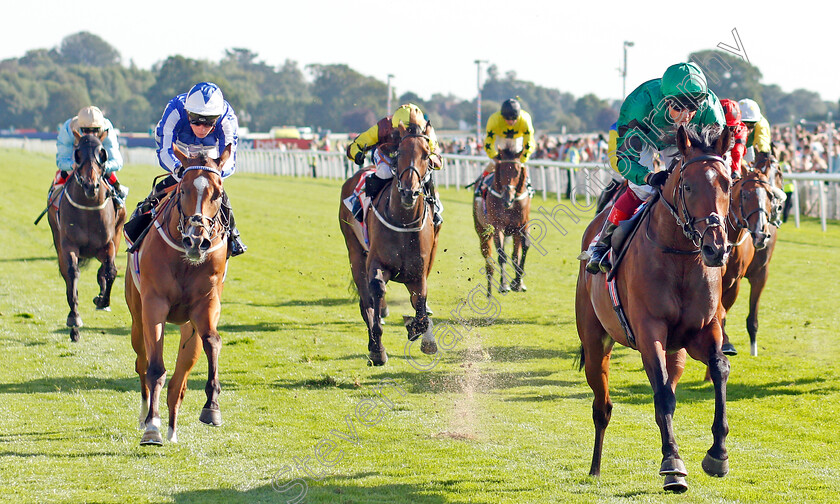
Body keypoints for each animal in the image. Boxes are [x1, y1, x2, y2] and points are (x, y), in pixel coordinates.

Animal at [47, 132, 126, 340]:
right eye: (78, 153)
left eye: (102, 154)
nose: (91, 186)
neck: (89, 208)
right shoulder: (69, 245)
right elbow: (72, 273)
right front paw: (74, 318)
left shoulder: (108, 244)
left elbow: (111, 271)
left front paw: (103, 300)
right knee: (67, 273)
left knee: (104, 269)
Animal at [125, 145, 230, 444]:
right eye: (183, 190)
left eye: (217, 193)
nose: (196, 241)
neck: (185, 260)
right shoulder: (154, 304)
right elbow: (155, 368)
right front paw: (151, 426)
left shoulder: (206, 304)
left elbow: (213, 342)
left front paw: (212, 407)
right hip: (136, 316)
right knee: (142, 362)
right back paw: (147, 416)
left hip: (187, 329)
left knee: (179, 380)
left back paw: (172, 427)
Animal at [338, 113, 440, 366]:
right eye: (399, 152)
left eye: (426, 154)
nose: (409, 192)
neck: (403, 221)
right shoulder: (376, 262)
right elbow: (376, 289)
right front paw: (377, 348)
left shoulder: (419, 271)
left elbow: (420, 306)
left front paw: (422, 334)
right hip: (354, 251)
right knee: (366, 300)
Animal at [472, 147, 532, 296]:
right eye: (502, 170)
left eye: (517, 170)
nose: (507, 200)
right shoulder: (497, 227)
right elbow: (502, 254)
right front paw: (503, 285)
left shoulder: (523, 225)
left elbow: (524, 248)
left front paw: (518, 282)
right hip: (482, 230)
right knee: (488, 256)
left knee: (515, 255)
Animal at [576, 125, 732, 492]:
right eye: (688, 186)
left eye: (728, 184)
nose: (716, 248)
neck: (681, 258)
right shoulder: (649, 332)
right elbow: (661, 394)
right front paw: (673, 463)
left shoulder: (703, 330)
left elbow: (718, 369)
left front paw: (717, 454)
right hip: (595, 342)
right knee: (602, 405)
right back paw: (595, 467)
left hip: (677, 353)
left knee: (670, 386)